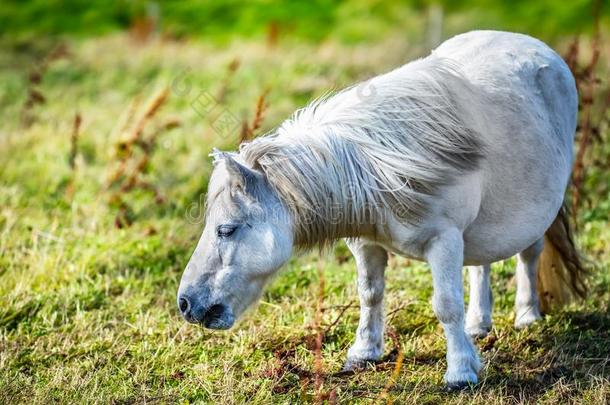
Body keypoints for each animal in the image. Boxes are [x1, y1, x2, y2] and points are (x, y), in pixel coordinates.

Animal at [176, 30, 584, 386]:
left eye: (226, 229)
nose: (185, 303)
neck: (382, 168)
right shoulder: (365, 242)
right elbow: (370, 294)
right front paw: (364, 353)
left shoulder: (444, 240)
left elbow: (446, 303)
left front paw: (460, 373)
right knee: (480, 266)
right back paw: (478, 324)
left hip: (537, 214)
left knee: (529, 255)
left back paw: (527, 315)